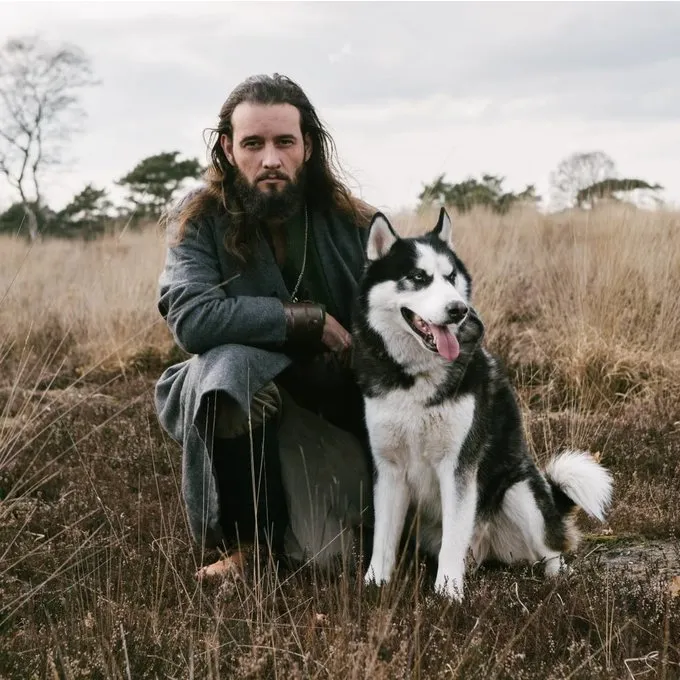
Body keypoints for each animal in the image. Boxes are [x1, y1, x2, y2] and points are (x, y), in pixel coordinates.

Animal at [352, 208, 613, 601]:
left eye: (450, 277)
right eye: (418, 277)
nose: (458, 310)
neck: (415, 377)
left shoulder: (458, 467)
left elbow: (453, 539)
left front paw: (448, 595)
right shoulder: (389, 468)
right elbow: (383, 540)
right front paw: (374, 585)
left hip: (519, 491)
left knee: (552, 550)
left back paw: (556, 579)